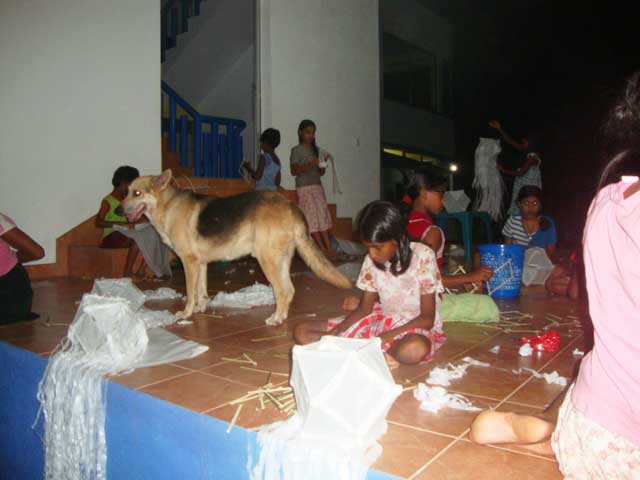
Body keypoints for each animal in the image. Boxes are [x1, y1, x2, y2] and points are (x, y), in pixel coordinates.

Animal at [117, 169, 352, 325]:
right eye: (127, 192)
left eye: (137, 193)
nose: (118, 210)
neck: (167, 205)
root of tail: (290, 205)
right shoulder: (200, 264)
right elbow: (201, 292)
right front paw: (200, 309)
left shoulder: (189, 263)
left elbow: (191, 293)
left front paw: (186, 313)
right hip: (281, 261)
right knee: (290, 290)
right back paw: (281, 316)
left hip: (267, 261)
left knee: (282, 292)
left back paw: (276, 319)